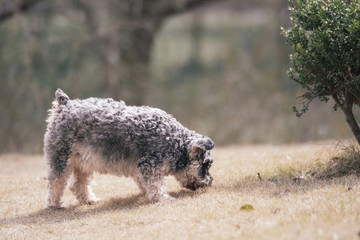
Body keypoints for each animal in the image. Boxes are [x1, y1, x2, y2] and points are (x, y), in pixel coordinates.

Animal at [44, 89, 215, 209]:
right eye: (206, 165)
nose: (211, 181)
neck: (176, 142)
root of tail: (64, 104)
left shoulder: (141, 166)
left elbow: (144, 182)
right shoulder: (149, 164)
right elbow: (156, 184)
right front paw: (163, 198)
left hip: (83, 162)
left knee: (78, 185)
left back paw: (90, 200)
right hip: (61, 159)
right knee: (56, 183)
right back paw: (54, 204)